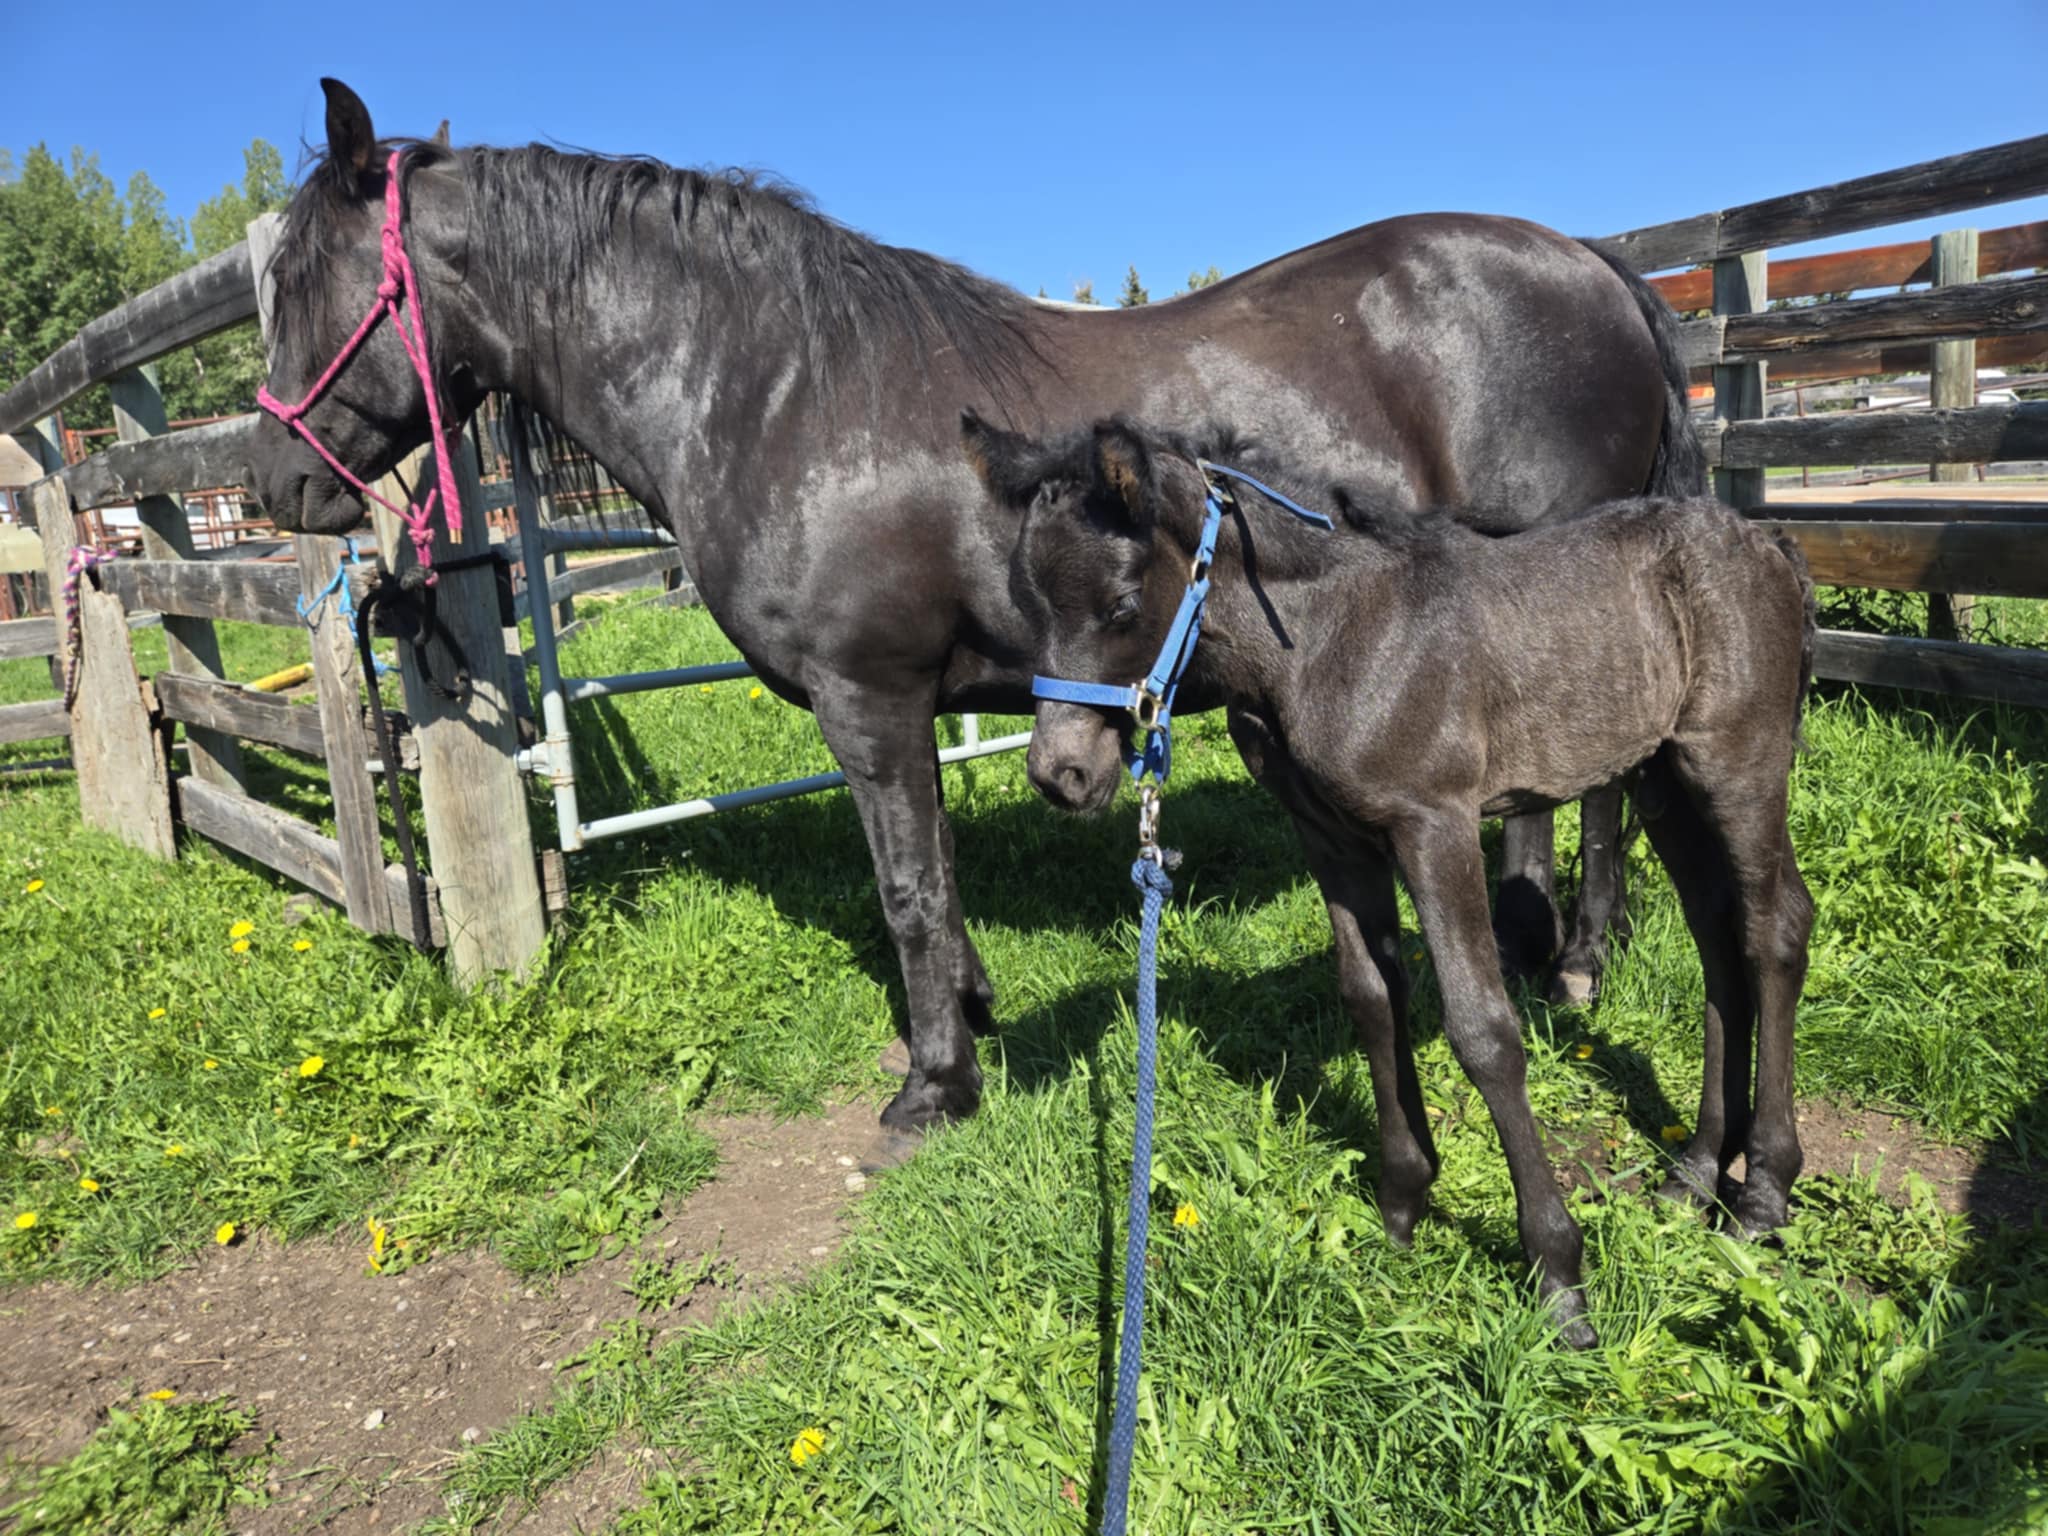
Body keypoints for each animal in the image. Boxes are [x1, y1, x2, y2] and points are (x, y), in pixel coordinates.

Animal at [247, 77, 1703, 1135]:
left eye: (309, 280)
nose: (272, 484)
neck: (776, 389)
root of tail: (1590, 264)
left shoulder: (869, 697)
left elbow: (905, 889)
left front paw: (935, 1084)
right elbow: (933, 877)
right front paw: (973, 1013)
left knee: (1603, 787)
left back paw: (1572, 957)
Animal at [965, 411, 1814, 1344]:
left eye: (1120, 604)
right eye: (1027, 605)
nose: (1060, 775)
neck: (1328, 639)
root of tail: (1769, 540)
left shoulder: (1433, 824)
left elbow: (1484, 1032)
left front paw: (1559, 1274)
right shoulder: (1333, 839)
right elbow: (1371, 995)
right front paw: (1404, 1200)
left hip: (1737, 766)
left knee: (1774, 929)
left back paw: (1764, 1190)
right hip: (1665, 782)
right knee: (1717, 940)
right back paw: (1697, 1170)